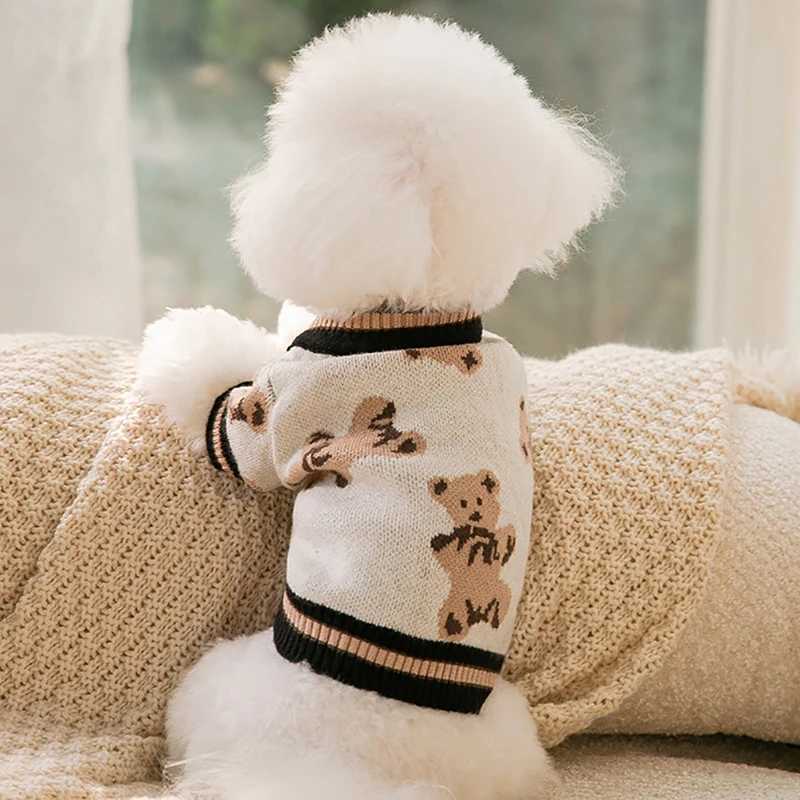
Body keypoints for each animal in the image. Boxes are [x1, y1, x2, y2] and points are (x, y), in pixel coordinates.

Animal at [428, 469, 516, 642]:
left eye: (480, 500)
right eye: (462, 503)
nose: (475, 514)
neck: (477, 531)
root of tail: (479, 613)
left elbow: (505, 536)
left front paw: (507, 542)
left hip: (500, 590)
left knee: (503, 599)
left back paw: (495, 618)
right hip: (456, 605)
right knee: (453, 619)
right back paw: (453, 628)